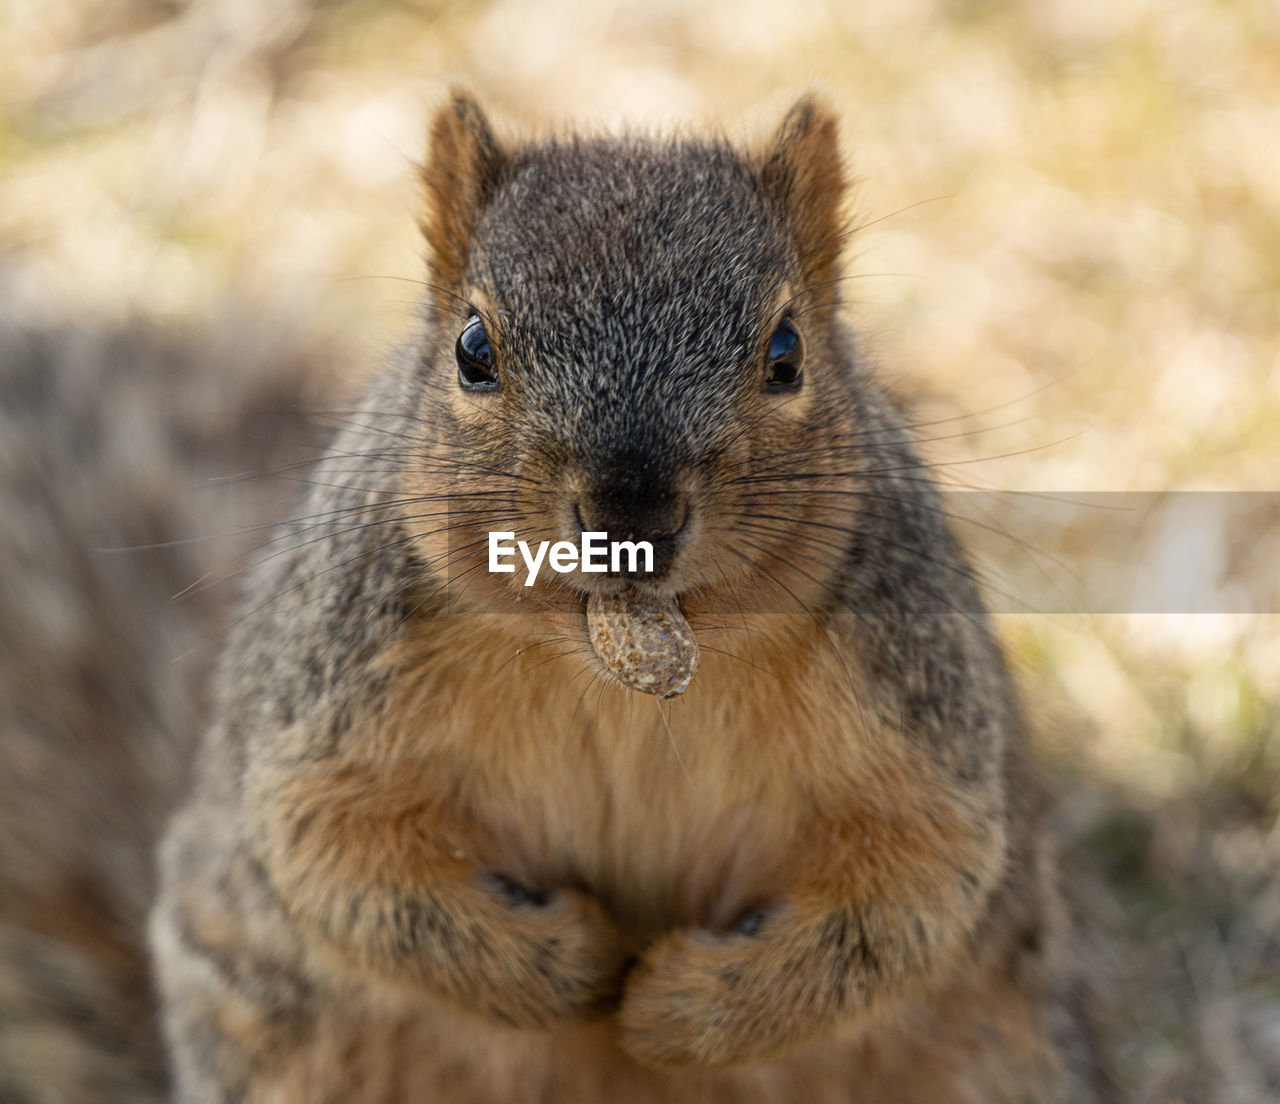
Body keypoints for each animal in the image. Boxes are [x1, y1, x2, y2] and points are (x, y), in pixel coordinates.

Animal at [5, 92, 1111, 1096]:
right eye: (472, 350)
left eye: (786, 352)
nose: (631, 512)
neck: (614, 676)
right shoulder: (328, 698)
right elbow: (335, 855)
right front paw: (571, 963)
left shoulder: (914, 704)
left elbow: (914, 888)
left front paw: (679, 1007)